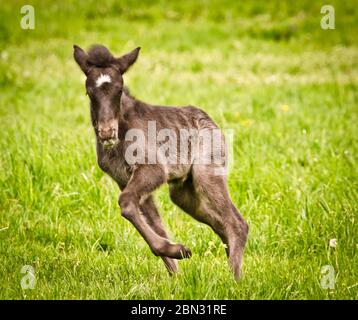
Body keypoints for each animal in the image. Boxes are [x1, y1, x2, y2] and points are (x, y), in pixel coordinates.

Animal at [73, 43, 249, 278]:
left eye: (119, 89)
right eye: (89, 92)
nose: (106, 132)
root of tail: (212, 122)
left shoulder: (154, 169)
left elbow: (126, 203)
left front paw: (180, 250)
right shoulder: (123, 180)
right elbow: (154, 223)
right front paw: (177, 271)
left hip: (207, 172)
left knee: (236, 223)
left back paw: (234, 279)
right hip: (183, 192)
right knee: (220, 223)